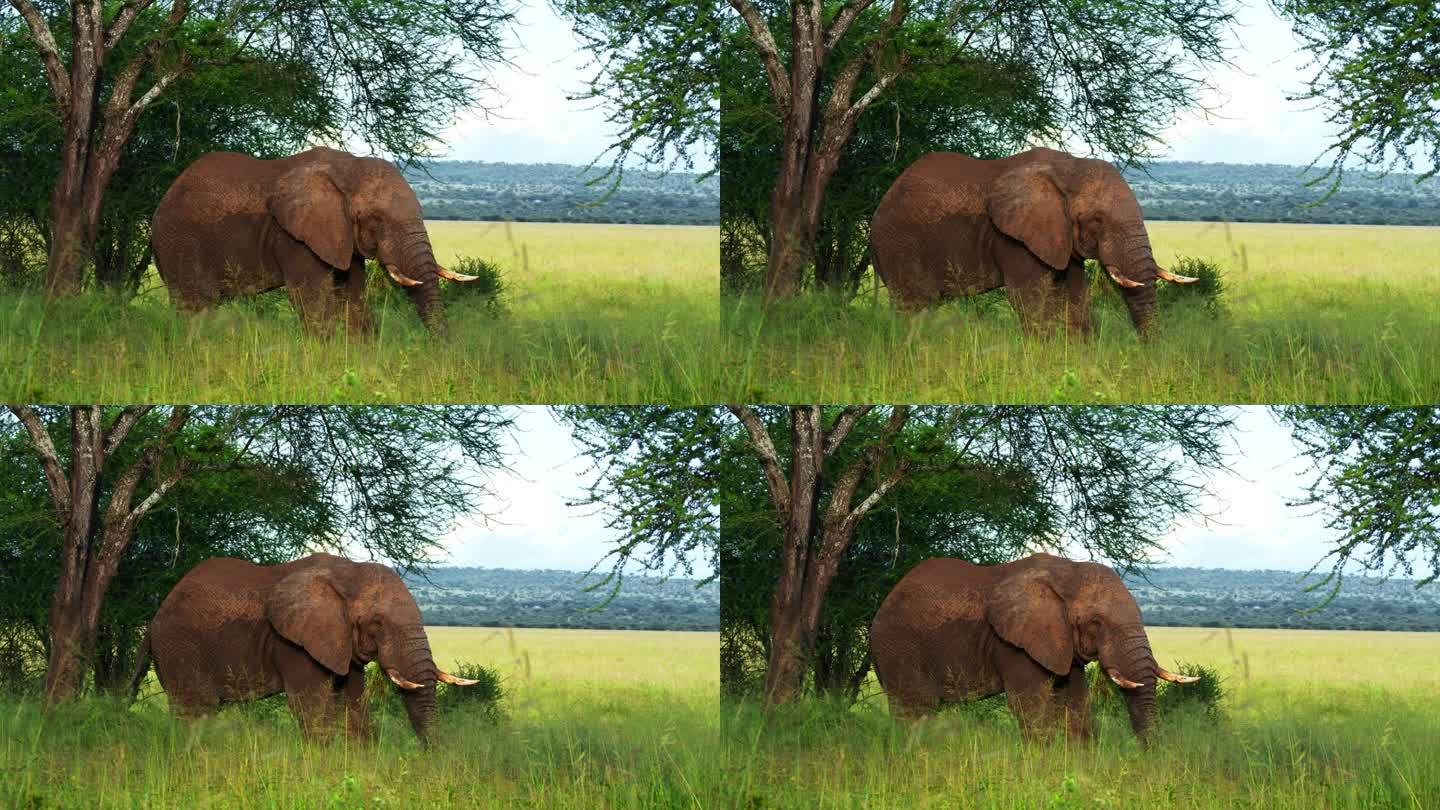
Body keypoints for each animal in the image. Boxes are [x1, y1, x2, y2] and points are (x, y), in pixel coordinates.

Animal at [129, 550, 478, 743]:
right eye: (377, 624)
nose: (431, 759)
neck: (348, 572)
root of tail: (156, 617)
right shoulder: (294, 643)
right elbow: (311, 709)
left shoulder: (340, 644)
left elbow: (354, 704)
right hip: (180, 649)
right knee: (195, 711)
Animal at [150, 144, 478, 331]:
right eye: (375, 219)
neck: (348, 167)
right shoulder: (294, 236)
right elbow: (313, 303)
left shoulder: (341, 237)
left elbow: (354, 300)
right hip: (181, 245)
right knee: (195, 307)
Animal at [869, 146, 1198, 332]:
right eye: (1096, 220)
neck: (1068, 167)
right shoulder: (1013, 236)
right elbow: (1031, 299)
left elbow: (1076, 297)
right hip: (900, 245)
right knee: (913, 306)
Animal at [869, 550, 1198, 743]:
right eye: (1096, 623)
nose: (1149, 754)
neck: (1067, 571)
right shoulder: (1014, 643)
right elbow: (1031, 705)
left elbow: (1076, 703)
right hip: (899, 649)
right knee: (914, 710)